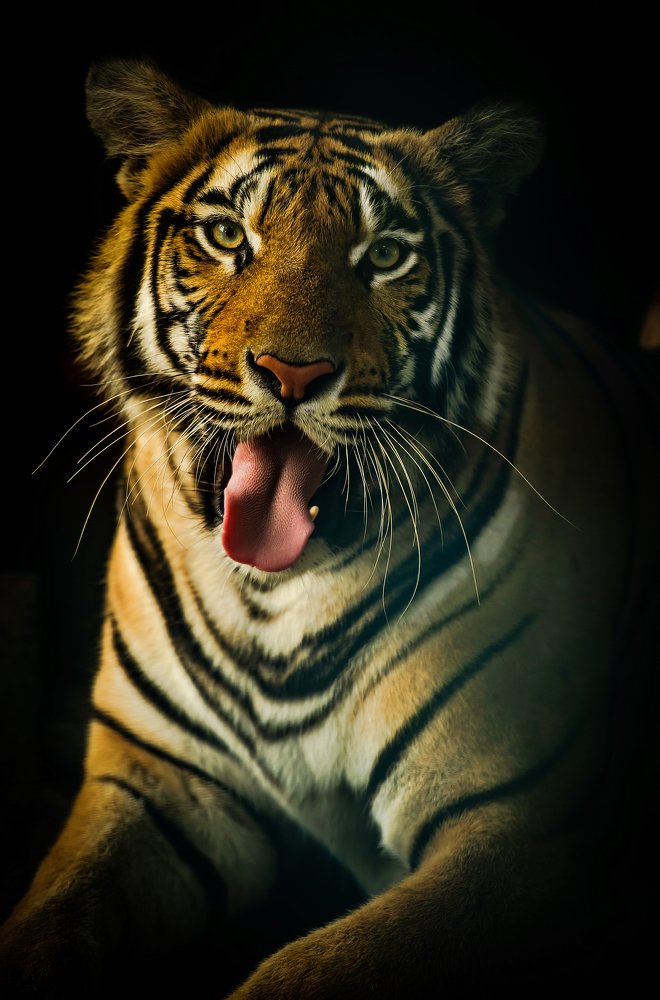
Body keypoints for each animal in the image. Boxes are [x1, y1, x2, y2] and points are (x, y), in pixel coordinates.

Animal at [1, 58, 658, 996]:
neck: (275, 596)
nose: (292, 372)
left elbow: (311, 971)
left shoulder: (516, 836)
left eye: (384, 255)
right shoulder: (160, 786)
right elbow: (48, 920)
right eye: (227, 236)